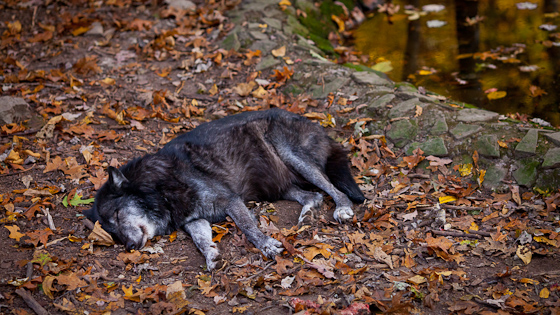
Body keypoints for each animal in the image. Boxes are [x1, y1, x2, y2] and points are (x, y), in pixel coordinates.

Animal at [82, 108, 364, 270]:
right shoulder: (194, 219)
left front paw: (266, 245)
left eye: (117, 215)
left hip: (290, 155)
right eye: (113, 233)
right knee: (313, 195)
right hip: (275, 184)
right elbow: (200, 241)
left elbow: (248, 227)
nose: (129, 246)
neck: (161, 188)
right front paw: (211, 255)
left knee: (333, 189)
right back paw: (307, 213)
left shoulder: (230, 200)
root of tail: (318, 127)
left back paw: (342, 209)